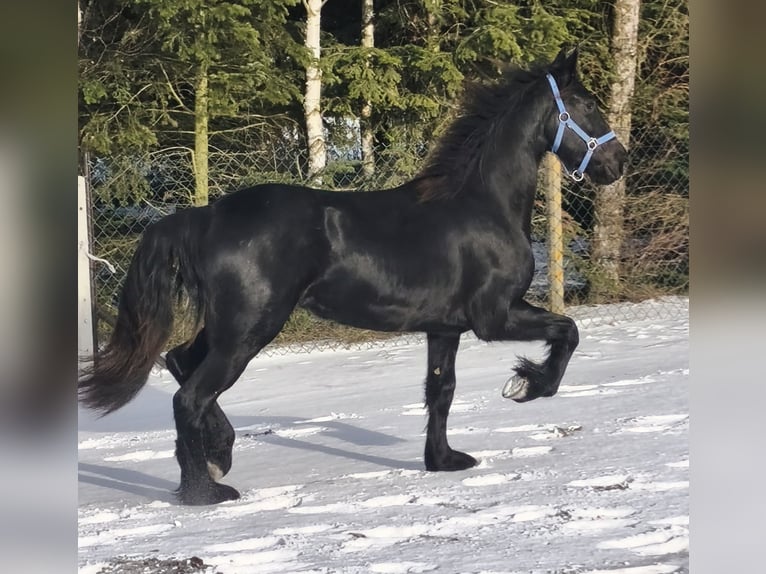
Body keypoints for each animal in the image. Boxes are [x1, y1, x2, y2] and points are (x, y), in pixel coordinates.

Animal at [79, 47, 627, 506]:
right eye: (585, 104)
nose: (617, 161)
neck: (481, 204)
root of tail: (206, 216)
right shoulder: (494, 317)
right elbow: (568, 331)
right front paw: (527, 386)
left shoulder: (444, 328)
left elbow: (441, 391)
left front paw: (444, 461)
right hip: (249, 329)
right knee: (190, 395)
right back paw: (206, 490)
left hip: (229, 327)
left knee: (179, 363)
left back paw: (218, 457)